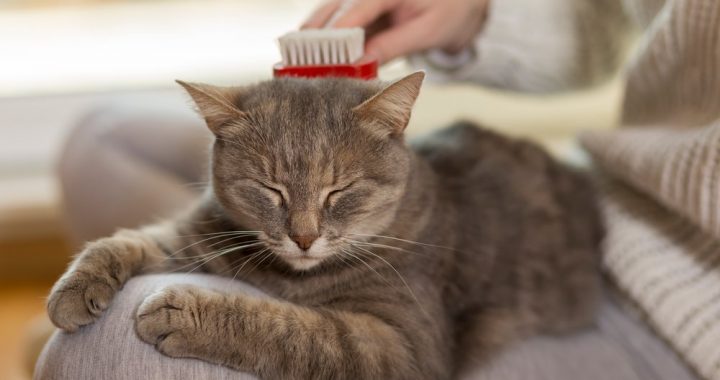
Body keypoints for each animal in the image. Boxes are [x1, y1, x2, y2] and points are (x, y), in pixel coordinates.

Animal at [47, 72, 604, 380]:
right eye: (271, 189)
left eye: (338, 191)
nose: (304, 235)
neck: (290, 277)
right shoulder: (198, 237)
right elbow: (123, 241)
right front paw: (73, 289)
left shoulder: (403, 346)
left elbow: (299, 330)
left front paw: (186, 313)